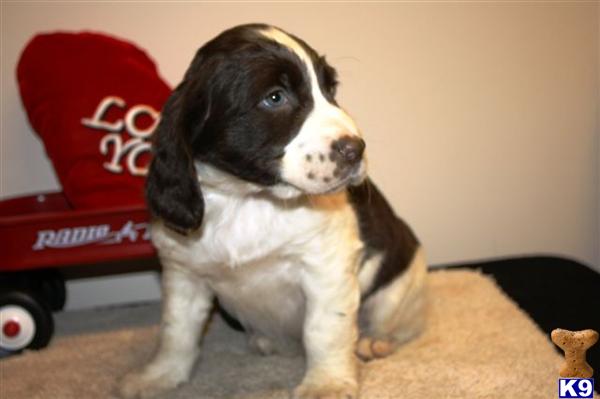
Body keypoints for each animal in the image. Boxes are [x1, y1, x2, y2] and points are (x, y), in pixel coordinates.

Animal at [118, 24, 426, 399]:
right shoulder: (183, 272)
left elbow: (325, 329)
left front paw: (327, 383)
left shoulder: (326, 265)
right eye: (275, 98)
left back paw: (375, 342)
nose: (356, 149)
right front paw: (158, 376)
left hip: (401, 283)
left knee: (395, 321)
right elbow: (176, 331)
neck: (248, 199)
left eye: (330, 89)